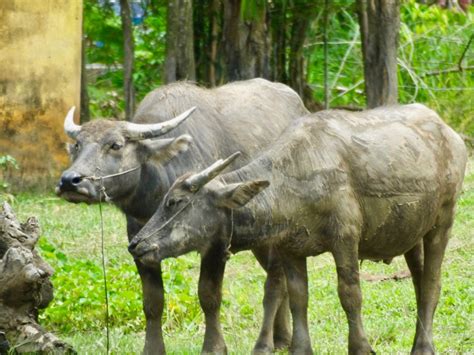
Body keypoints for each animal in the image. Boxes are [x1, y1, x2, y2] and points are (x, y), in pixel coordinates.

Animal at [56, 79, 308, 354]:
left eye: (115, 145)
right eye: (77, 145)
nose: (70, 181)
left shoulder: (216, 242)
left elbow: (209, 295)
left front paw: (214, 347)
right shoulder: (139, 241)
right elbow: (152, 301)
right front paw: (153, 348)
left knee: (275, 282)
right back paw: (282, 338)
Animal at [129, 104, 466, 354]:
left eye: (174, 202)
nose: (137, 244)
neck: (294, 179)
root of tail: (452, 136)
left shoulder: (345, 239)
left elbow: (350, 294)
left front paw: (360, 347)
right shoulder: (289, 249)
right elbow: (297, 298)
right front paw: (301, 348)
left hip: (442, 222)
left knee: (432, 283)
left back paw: (423, 347)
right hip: (412, 233)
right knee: (419, 281)